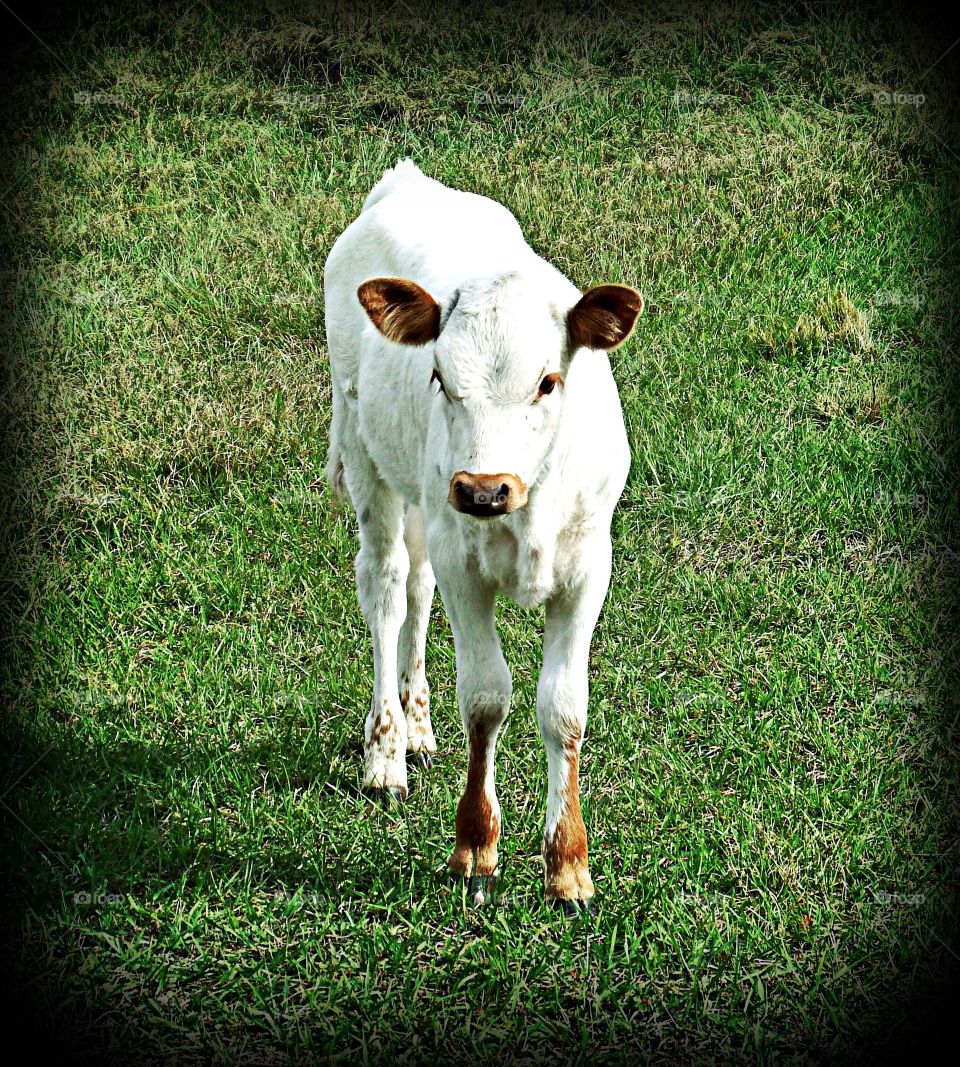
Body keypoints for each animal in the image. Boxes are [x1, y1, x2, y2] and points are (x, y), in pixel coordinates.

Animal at [323, 160, 642, 912]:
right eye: (440, 377)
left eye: (549, 381)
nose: (483, 489)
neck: (528, 514)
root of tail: (407, 181)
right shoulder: (464, 562)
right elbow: (487, 698)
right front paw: (474, 847)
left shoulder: (588, 567)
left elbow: (564, 707)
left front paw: (568, 866)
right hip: (372, 461)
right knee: (386, 587)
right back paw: (386, 750)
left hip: (425, 499)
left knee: (416, 588)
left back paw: (416, 724)